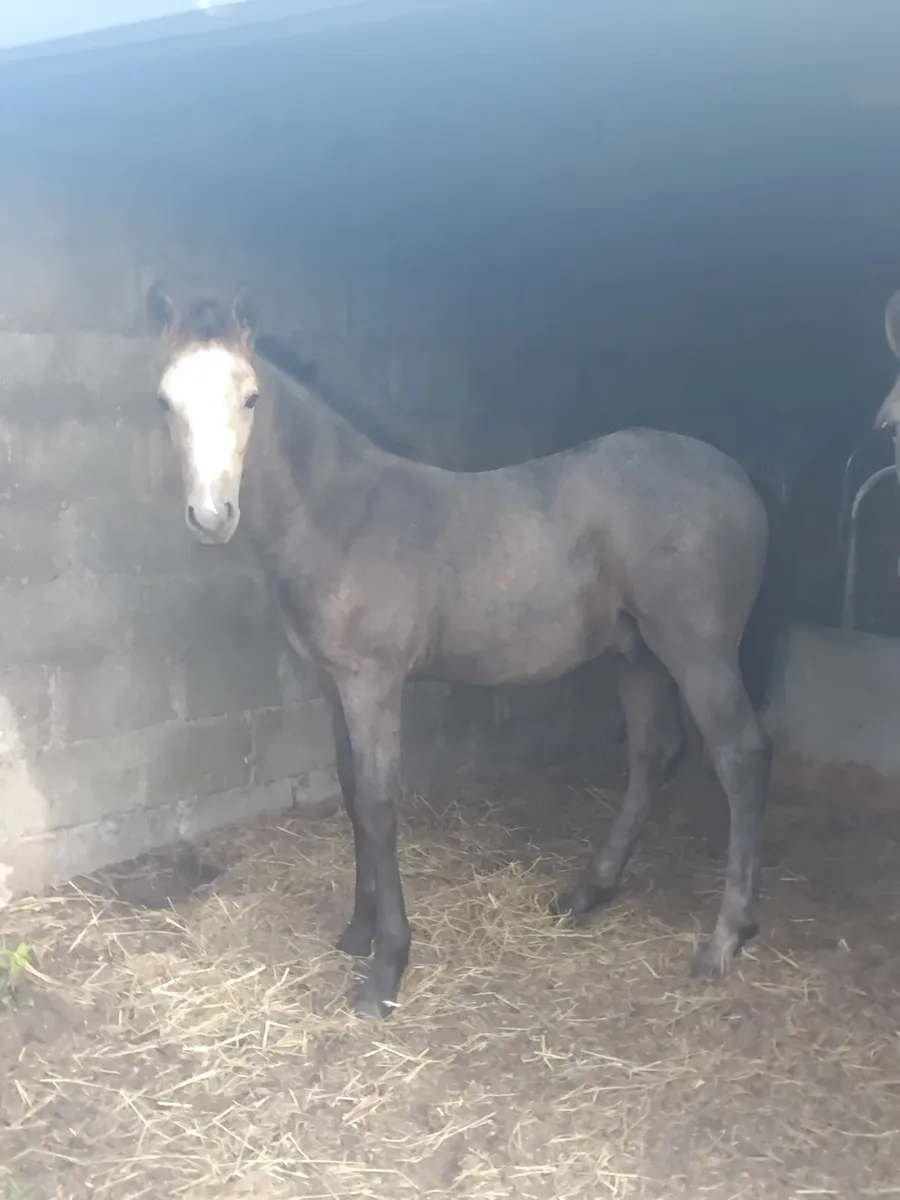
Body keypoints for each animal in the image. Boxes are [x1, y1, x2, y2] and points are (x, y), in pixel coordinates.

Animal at [146, 282, 788, 1019]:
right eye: (164, 400)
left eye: (250, 397)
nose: (212, 516)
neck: (341, 515)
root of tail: (741, 480)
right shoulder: (332, 684)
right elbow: (350, 794)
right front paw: (359, 932)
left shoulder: (373, 682)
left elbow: (378, 805)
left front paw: (386, 970)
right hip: (637, 653)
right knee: (655, 752)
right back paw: (587, 893)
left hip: (697, 649)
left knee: (741, 756)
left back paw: (725, 938)